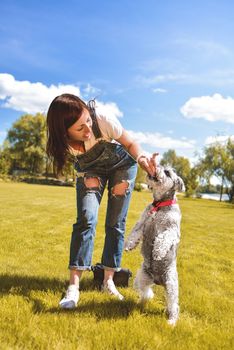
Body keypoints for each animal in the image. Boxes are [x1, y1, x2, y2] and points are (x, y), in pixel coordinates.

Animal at [124, 163, 185, 326]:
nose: (155, 166)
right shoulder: (143, 222)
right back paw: (143, 300)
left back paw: (171, 321)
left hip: (171, 286)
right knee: (146, 292)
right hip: (141, 277)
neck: (159, 204)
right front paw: (129, 244)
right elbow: (135, 232)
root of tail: (158, 281)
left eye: (167, 173)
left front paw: (158, 251)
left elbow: (163, 238)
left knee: (173, 305)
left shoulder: (172, 230)